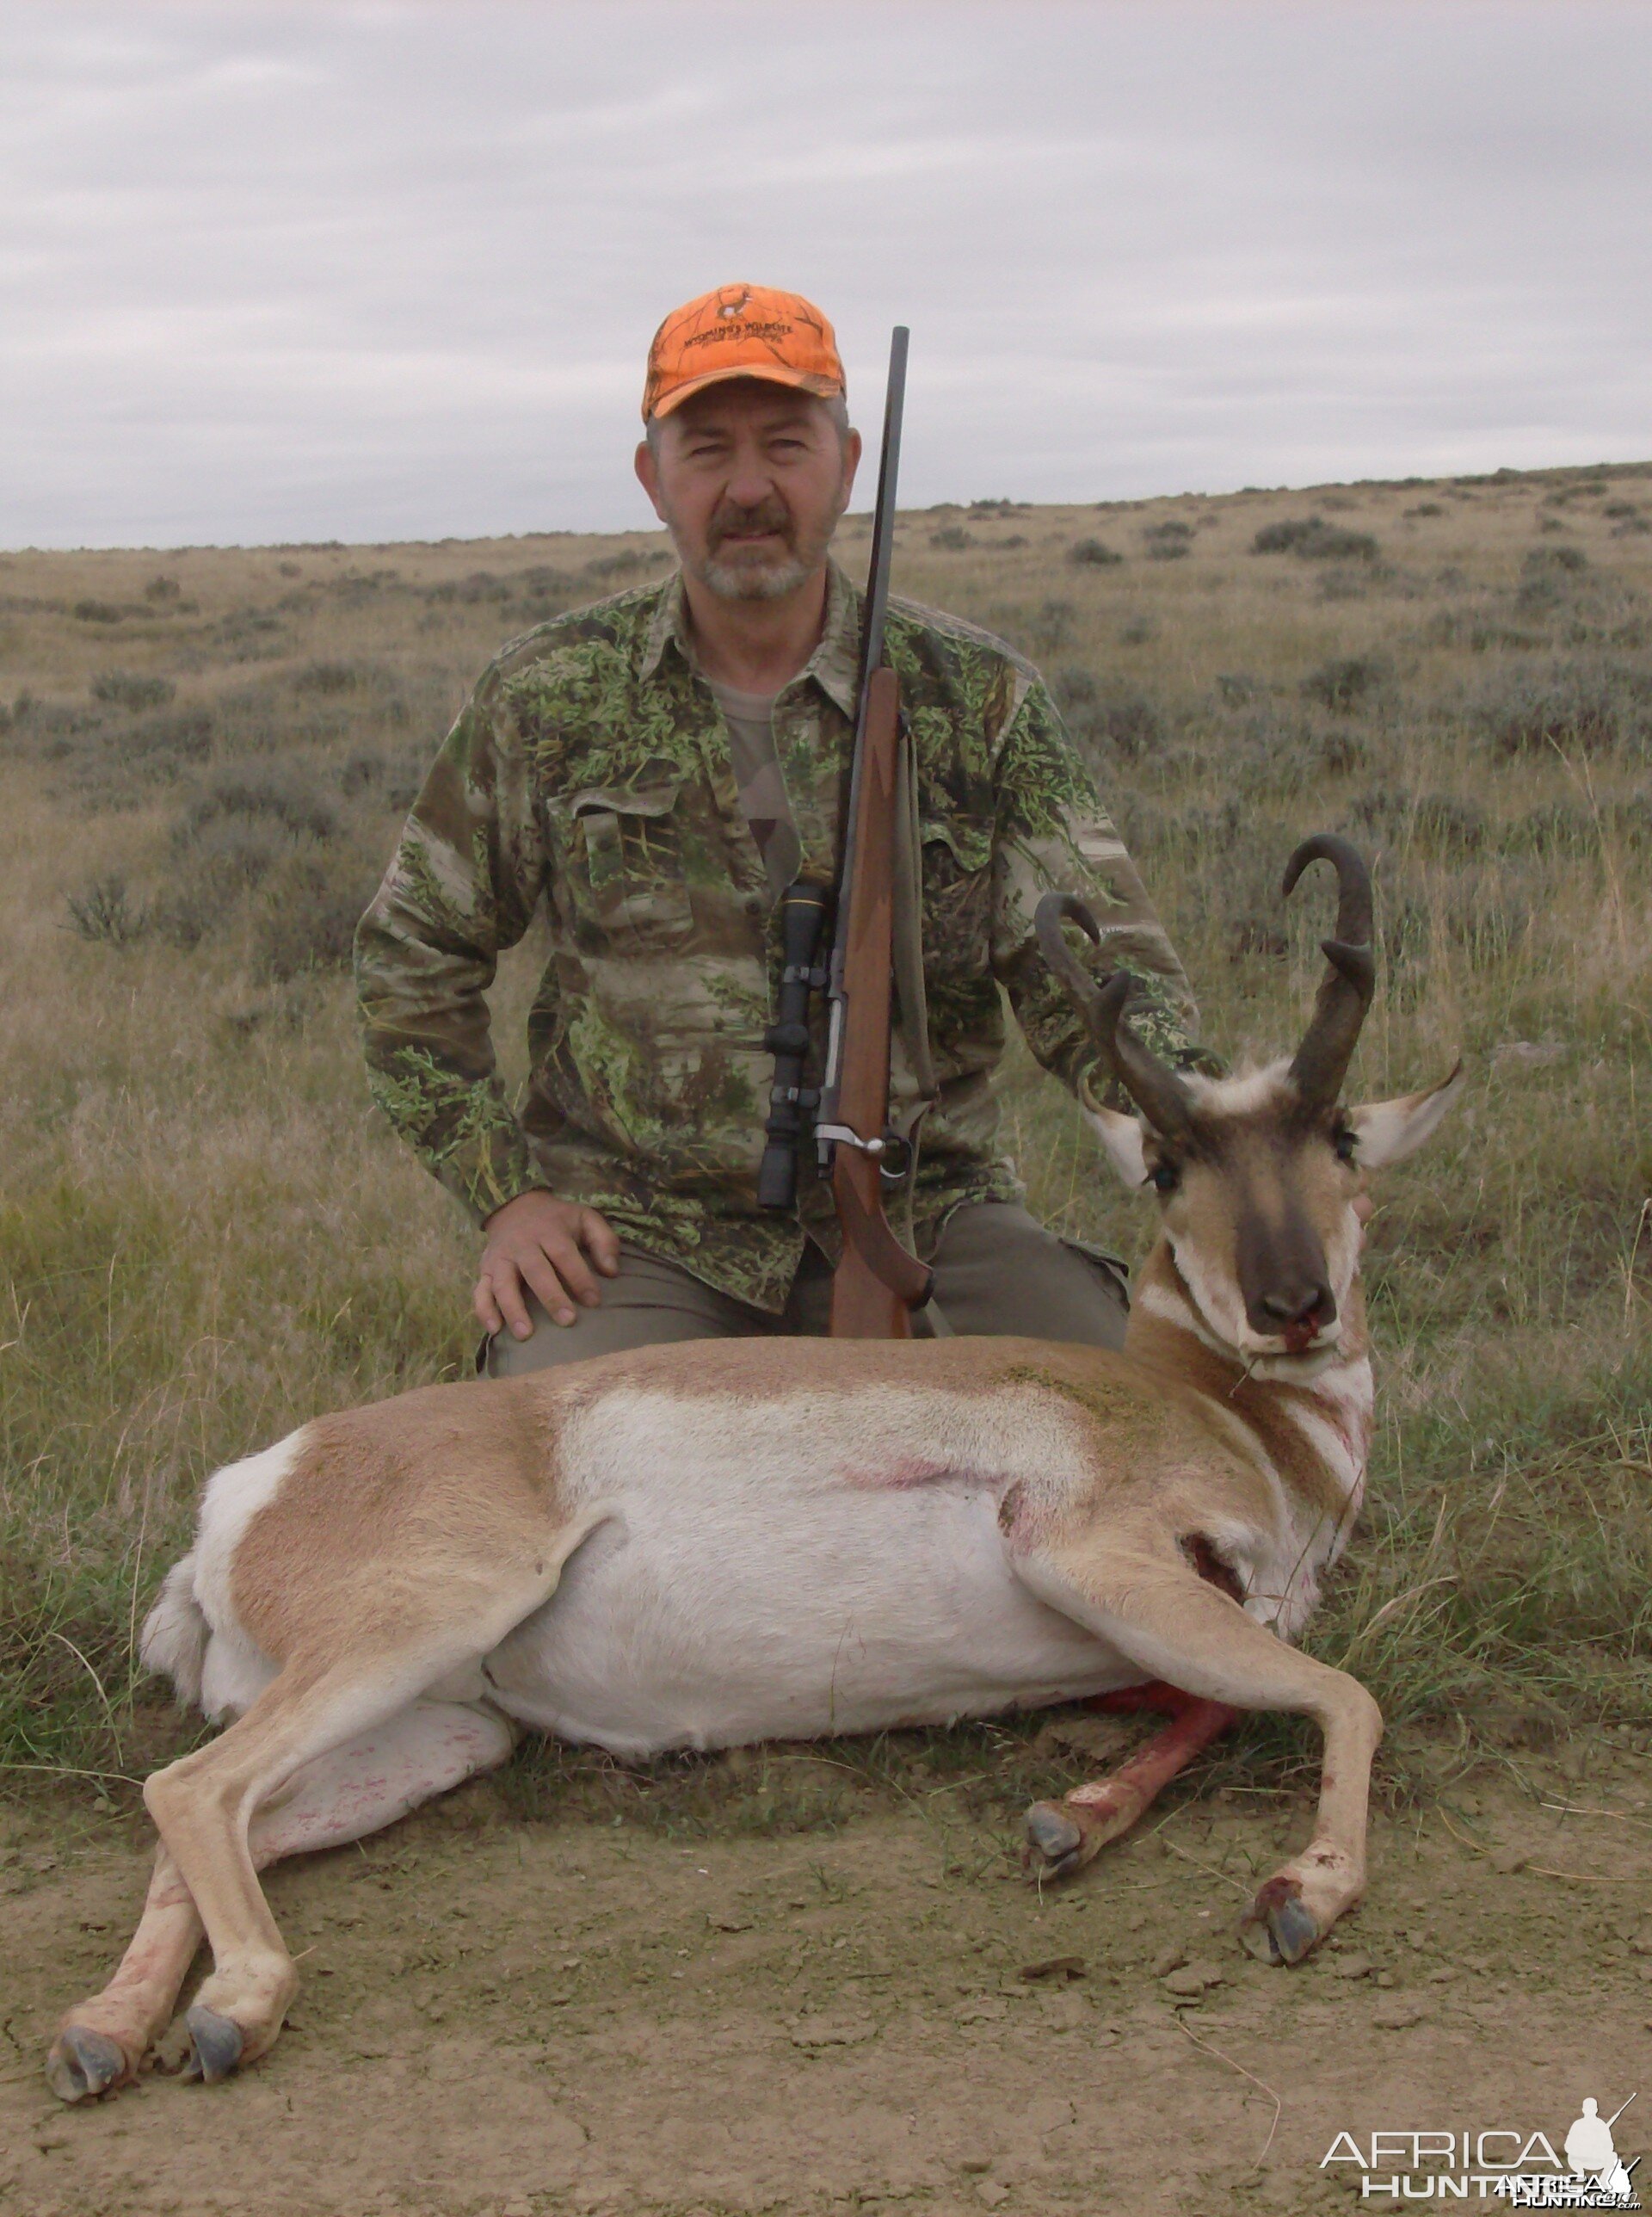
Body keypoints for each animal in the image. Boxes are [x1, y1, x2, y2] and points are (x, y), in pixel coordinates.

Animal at [45, 833, 1446, 2092]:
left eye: (1341, 1138)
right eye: (1165, 1164)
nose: (1293, 1306)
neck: (1219, 1412)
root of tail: (250, 1489)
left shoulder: (1149, 1632)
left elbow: (1218, 1704)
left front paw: (1075, 1816)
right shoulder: (1096, 1557)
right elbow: (1347, 1695)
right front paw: (1304, 1891)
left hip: (442, 1730)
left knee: (210, 1824)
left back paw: (113, 2033)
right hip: (418, 1630)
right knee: (191, 1789)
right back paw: (239, 2004)